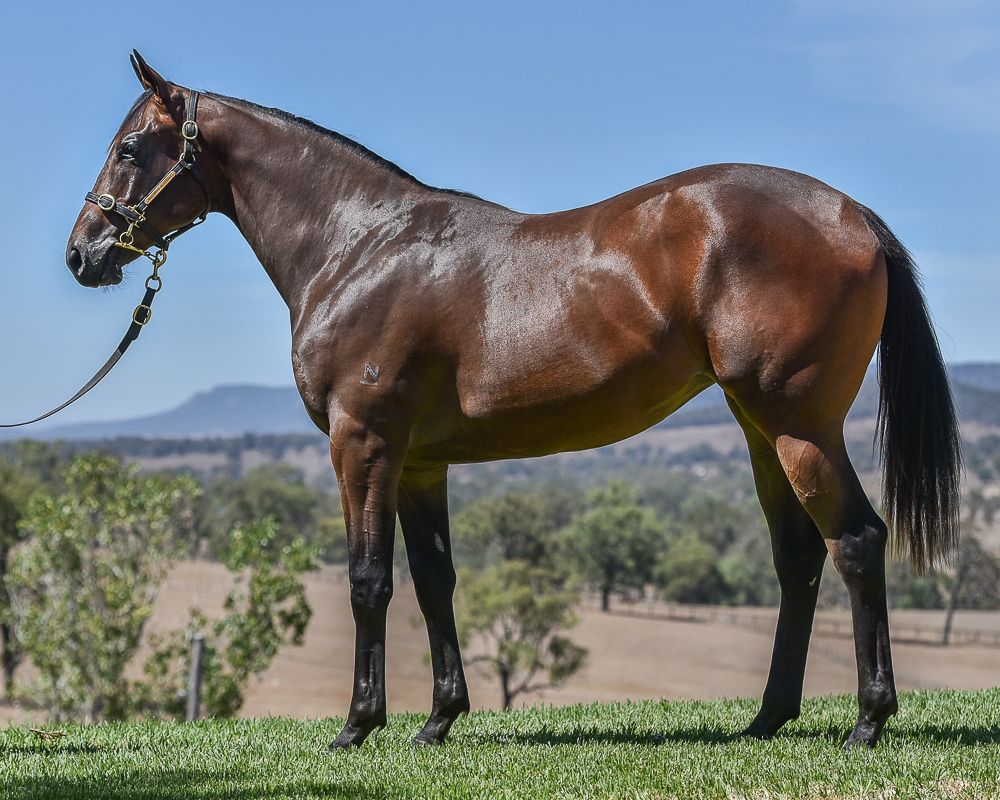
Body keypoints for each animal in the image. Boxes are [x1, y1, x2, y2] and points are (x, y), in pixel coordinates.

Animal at [66, 52, 960, 750]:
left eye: (130, 147)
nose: (83, 254)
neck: (359, 246)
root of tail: (852, 214)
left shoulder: (364, 444)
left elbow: (368, 579)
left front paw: (358, 724)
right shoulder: (420, 462)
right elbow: (434, 579)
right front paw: (438, 720)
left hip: (799, 425)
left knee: (856, 541)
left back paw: (868, 720)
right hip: (758, 429)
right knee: (799, 557)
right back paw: (769, 718)